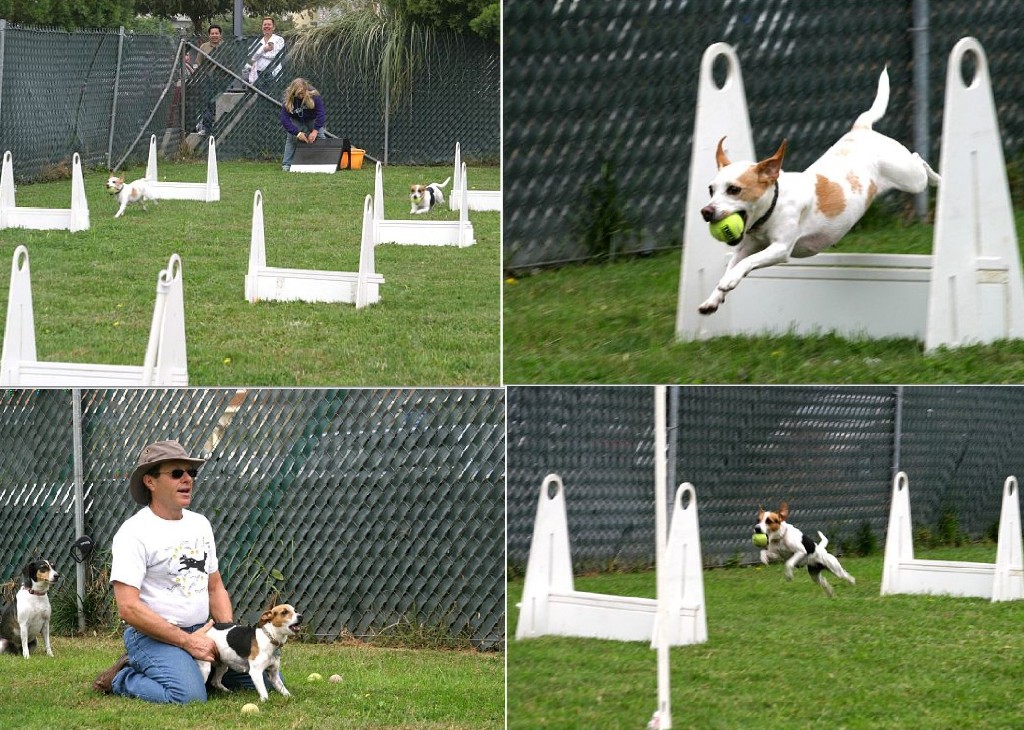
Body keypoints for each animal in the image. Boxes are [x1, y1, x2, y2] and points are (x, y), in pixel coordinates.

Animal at [700, 69, 937, 315]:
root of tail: (862, 129)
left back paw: (938, 179)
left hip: (911, 178)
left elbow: (747, 263)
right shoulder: (746, 247)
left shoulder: (780, 249)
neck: (774, 205)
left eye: (734, 189)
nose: (706, 211)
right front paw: (714, 298)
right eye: (711, 190)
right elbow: (731, 264)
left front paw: (730, 280)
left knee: (919, 160)